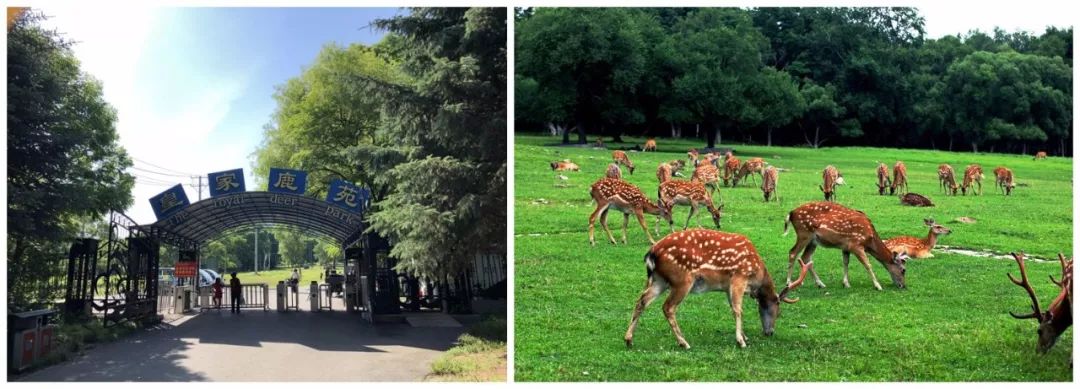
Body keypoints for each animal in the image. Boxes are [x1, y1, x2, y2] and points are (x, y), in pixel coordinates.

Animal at [622, 229, 812, 347]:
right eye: (778, 312)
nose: (770, 332)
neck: (756, 273)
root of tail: (651, 253)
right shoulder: (739, 276)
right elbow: (738, 309)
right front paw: (741, 341)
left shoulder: (727, 287)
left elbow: (732, 308)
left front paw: (744, 336)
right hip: (682, 279)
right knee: (668, 307)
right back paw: (684, 343)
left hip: (659, 280)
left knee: (641, 300)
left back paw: (629, 339)